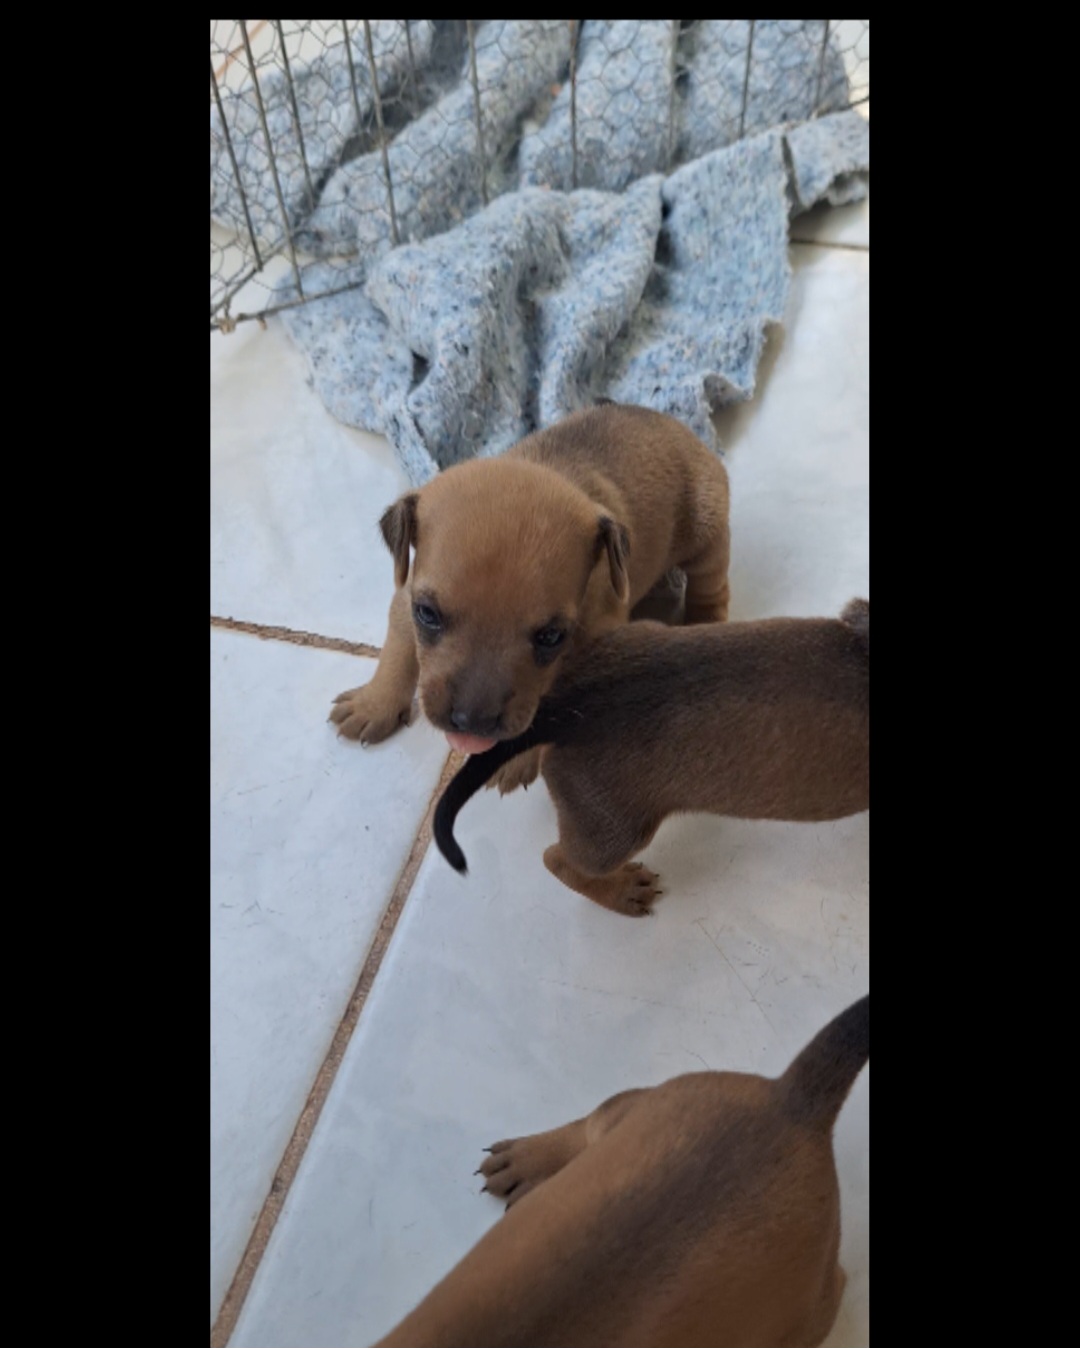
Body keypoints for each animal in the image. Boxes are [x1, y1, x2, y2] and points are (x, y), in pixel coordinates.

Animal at [330, 404, 733, 792]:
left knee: (711, 589)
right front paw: (372, 704)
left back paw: (705, 627)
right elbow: (397, 651)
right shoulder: (405, 595)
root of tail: (674, 424)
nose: (471, 722)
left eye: (551, 637)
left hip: (706, 533)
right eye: (427, 614)